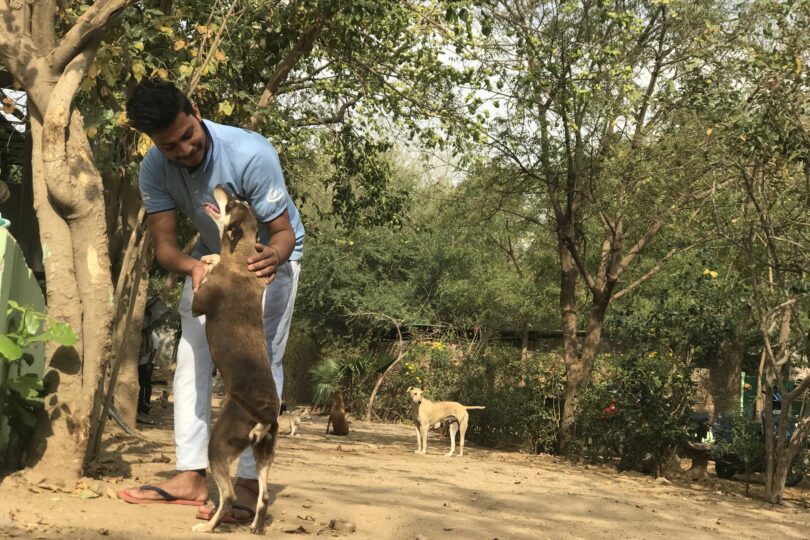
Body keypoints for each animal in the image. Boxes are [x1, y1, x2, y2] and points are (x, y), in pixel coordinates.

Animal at [191, 187, 280, 536]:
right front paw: (212, 257)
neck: (241, 258)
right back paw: (255, 526)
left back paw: (207, 527)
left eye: (231, 204)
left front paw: (208, 261)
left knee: (227, 495)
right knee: (264, 496)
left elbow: (202, 282)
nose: (223, 187)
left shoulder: (198, 304)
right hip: (263, 453)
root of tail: (266, 413)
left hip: (218, 446)